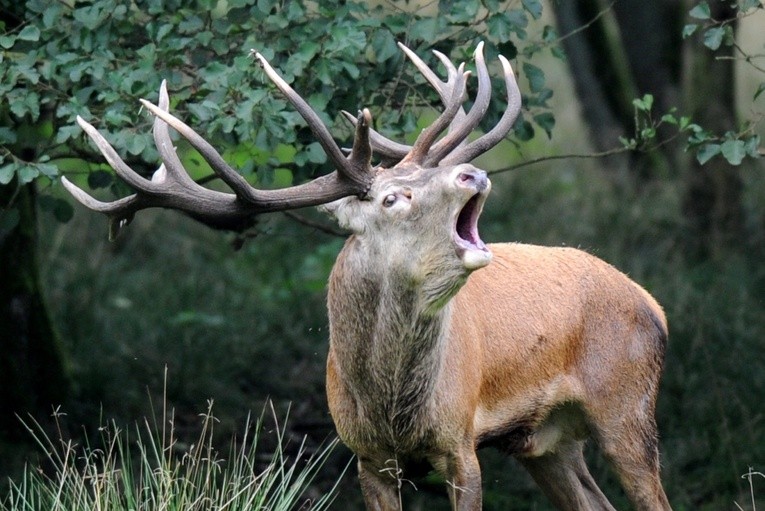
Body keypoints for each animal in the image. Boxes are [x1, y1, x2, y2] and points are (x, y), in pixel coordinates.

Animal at [64, 42, 668, 510]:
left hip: (628, 404)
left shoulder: (461, 442)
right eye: (393, 197)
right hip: (546, 441)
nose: (472, 172)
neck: (392, 408)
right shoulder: (365, 455)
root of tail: (653, 303)